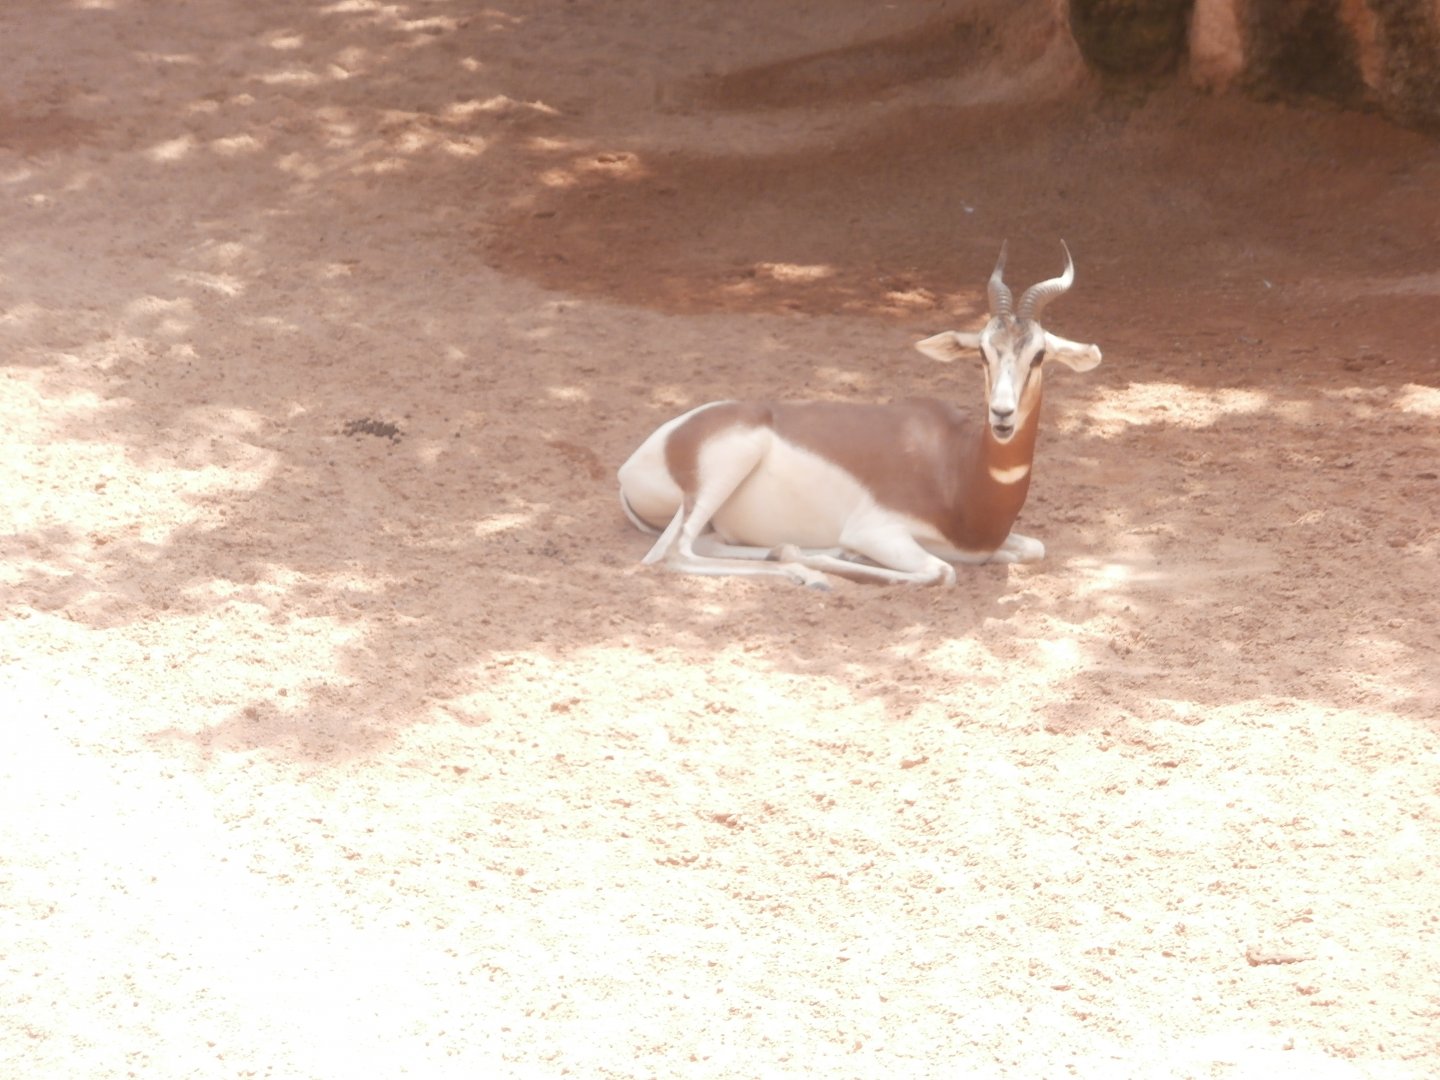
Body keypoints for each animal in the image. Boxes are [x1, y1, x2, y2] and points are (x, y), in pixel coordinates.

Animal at [616, 242, 1102, 587]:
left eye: (1039, 355)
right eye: (983, 353)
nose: (1002, 415)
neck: (958, 469)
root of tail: (631, 467)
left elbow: (1033, 548)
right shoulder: (877, 532)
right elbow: (940, 572)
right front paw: (840, 557)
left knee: (708, 545)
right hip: (723, 470)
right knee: (673, 555)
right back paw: (804, 572)